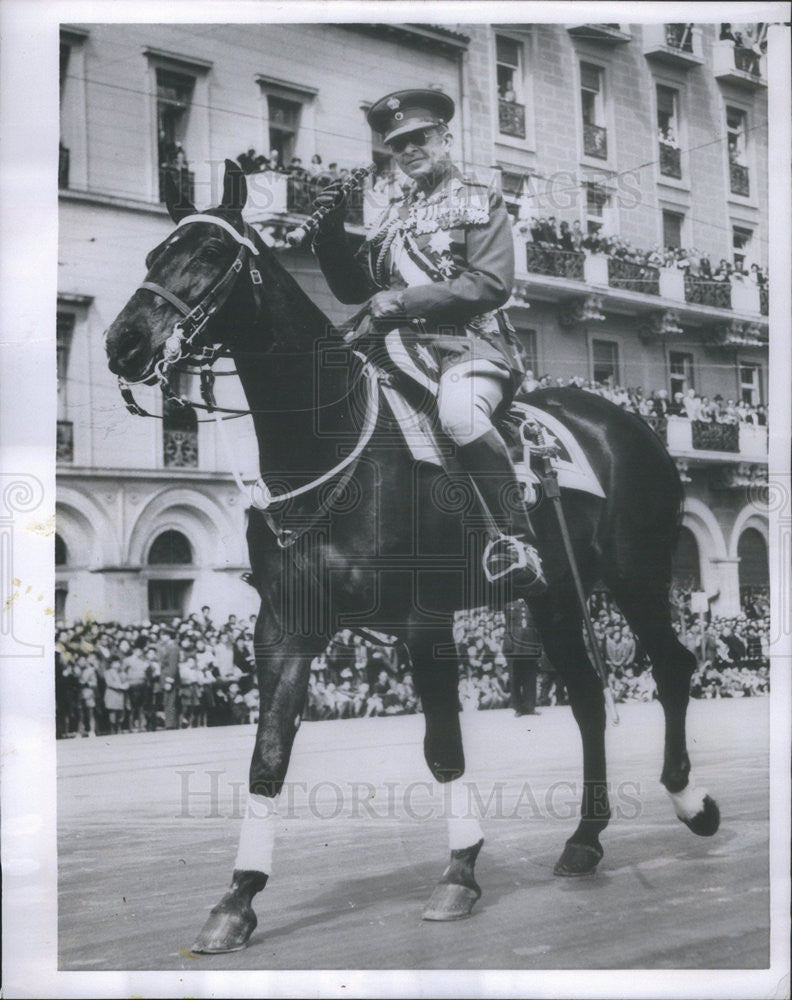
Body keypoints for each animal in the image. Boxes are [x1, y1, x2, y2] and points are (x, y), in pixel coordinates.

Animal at [103, 162, 716, 952]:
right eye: (155, 255)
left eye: (210, 253)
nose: (124, 342)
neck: (331, 442)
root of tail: (629, 423)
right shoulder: (284, 630)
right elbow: (266, 758)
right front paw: (238, 897)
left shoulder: (425, 625)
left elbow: (444, 748)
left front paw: (460, 872)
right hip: (552, 595)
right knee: (584, 696)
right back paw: (585, 838)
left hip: (636, 576)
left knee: (670, 668)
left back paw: (690, 801)